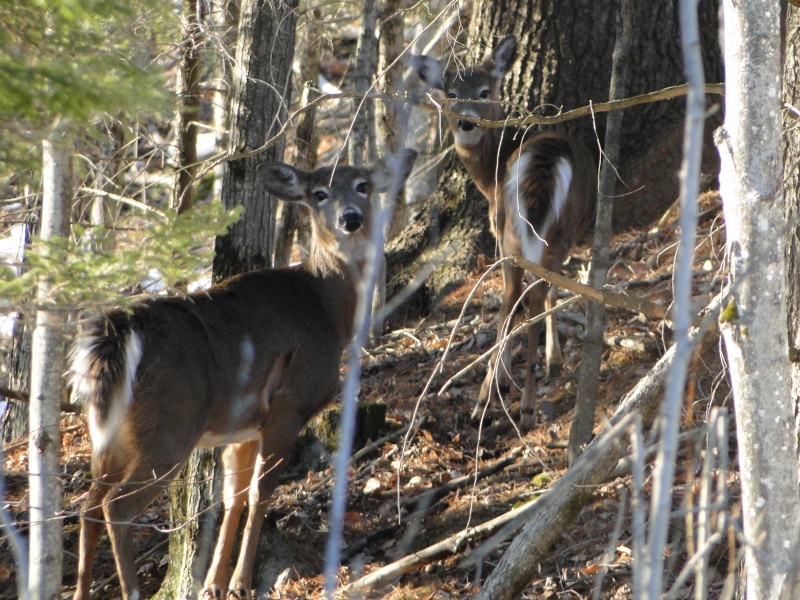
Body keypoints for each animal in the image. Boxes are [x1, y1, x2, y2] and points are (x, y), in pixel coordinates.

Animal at [69, 146, 418, 600]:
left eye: (362, 185)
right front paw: (240, 582)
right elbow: (259, 495)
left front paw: (215, 583)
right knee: (116, 507)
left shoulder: (244, 426)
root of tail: (118, 333)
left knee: (89, 507)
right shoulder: (288, 404)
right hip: (169, 426)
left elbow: (231, 497)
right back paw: (130, 590)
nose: (351, 218)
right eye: (320, 194)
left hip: (108, 436)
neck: (329, 307)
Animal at [412, 35, 592, 428]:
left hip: (512, 236)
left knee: (512, 303)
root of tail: (544, 163)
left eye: (484, 92)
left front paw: (509, 376)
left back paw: (501, 400)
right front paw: (553, 361)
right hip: (553, 234)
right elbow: (553, 293)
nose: (467, 124)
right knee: (534, 297)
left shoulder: (497, 226)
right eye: (451, 92)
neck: (488, 176)